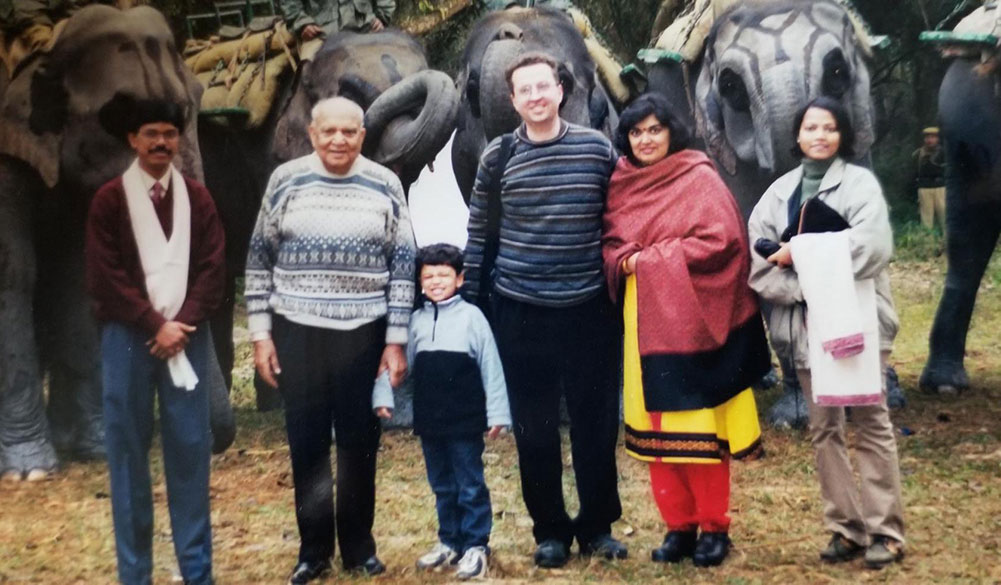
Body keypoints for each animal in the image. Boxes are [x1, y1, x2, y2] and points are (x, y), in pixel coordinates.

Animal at [0, 5, 236, 480]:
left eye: (195, 102)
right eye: (125, 117)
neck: (52, 43)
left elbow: (81, 275)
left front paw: (96, 448)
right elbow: (13, 271)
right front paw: (29, 471)